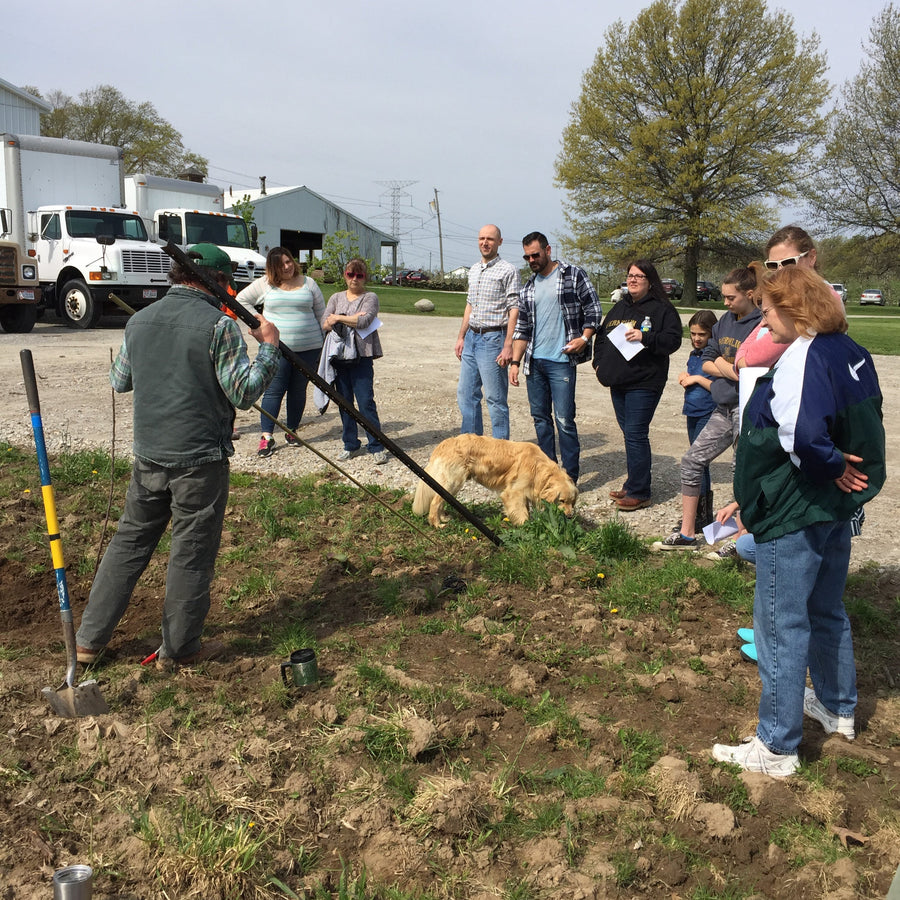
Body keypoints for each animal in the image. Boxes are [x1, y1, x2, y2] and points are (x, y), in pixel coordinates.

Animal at [414, 436, 580, 528]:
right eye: (562, 501)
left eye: (572, 502)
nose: (570, 516)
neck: (538, 467)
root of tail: (445, 443)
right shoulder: (513, 493)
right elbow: (522, 513)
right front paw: (525, 527)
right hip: (453, 481)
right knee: (435, 502)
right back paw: (436, 523)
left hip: (451, 485)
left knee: (441, 500)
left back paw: (443, 518)